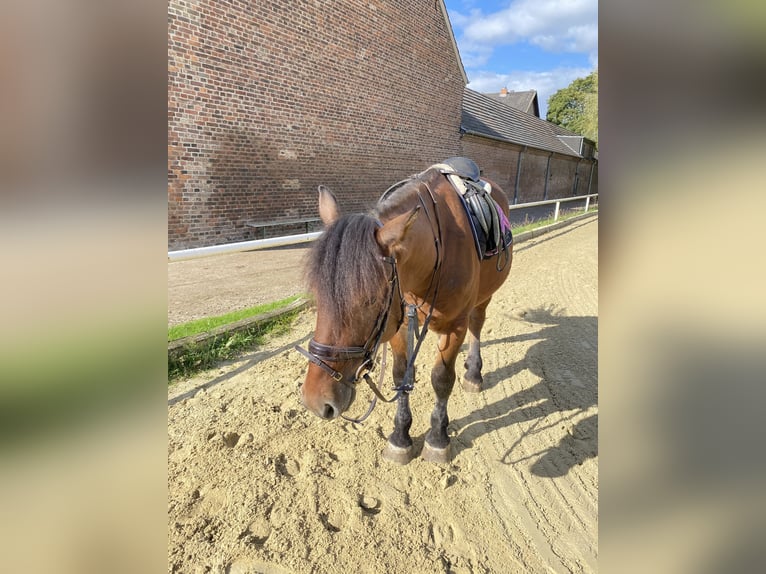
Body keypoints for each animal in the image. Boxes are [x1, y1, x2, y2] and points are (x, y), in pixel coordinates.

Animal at [298, 159, 513, 464]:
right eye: (318, 295)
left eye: (370, 299)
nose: (315, 400)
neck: (435, 252)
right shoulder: (398, 323)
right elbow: (401, 377)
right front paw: (400, 436)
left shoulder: (454, 326)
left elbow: (442, 379)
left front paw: (438, 438)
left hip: (483, 298)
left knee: (477, 324)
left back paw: (473, 372)